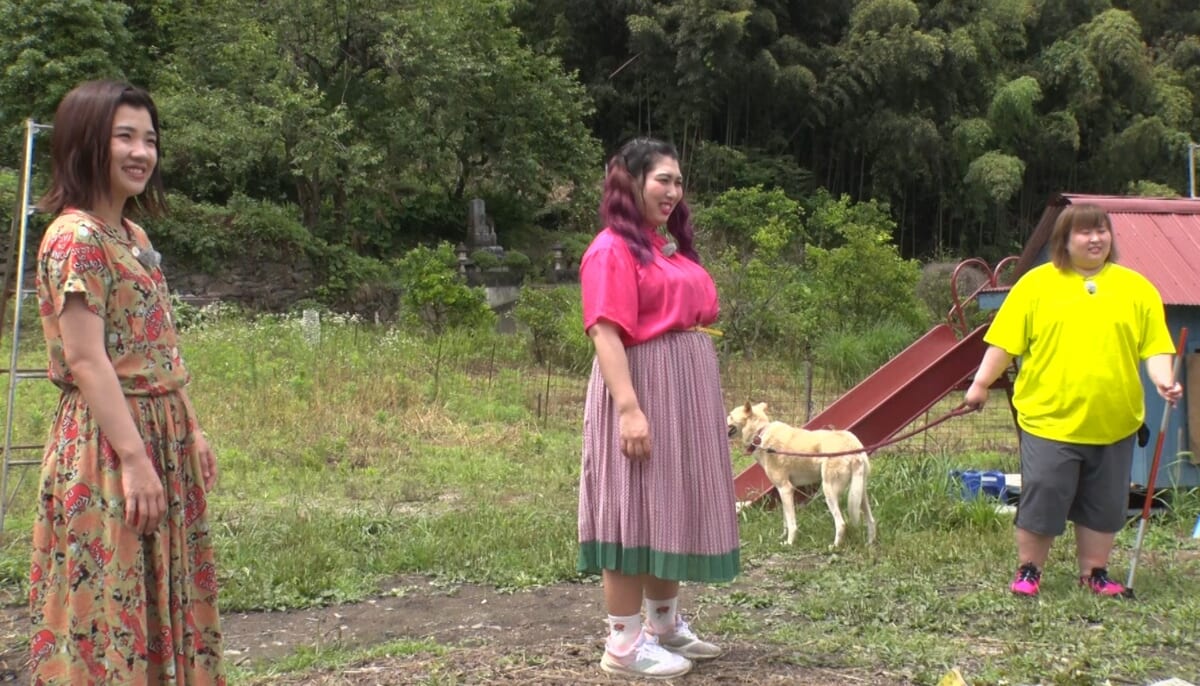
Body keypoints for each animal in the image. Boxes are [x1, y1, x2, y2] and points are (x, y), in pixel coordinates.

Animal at [724, 402, 878, 546]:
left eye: (730, 415)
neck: (760, 434)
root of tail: (854, 447)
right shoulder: (782, 491)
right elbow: (786, 520)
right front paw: (782, 537)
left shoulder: (786, 489)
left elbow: (792, 524)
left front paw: (789, 543)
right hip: (859, 494)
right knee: (871, 520)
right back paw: (869, 544)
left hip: (829, 491)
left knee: (841, 523)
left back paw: (834, 546)